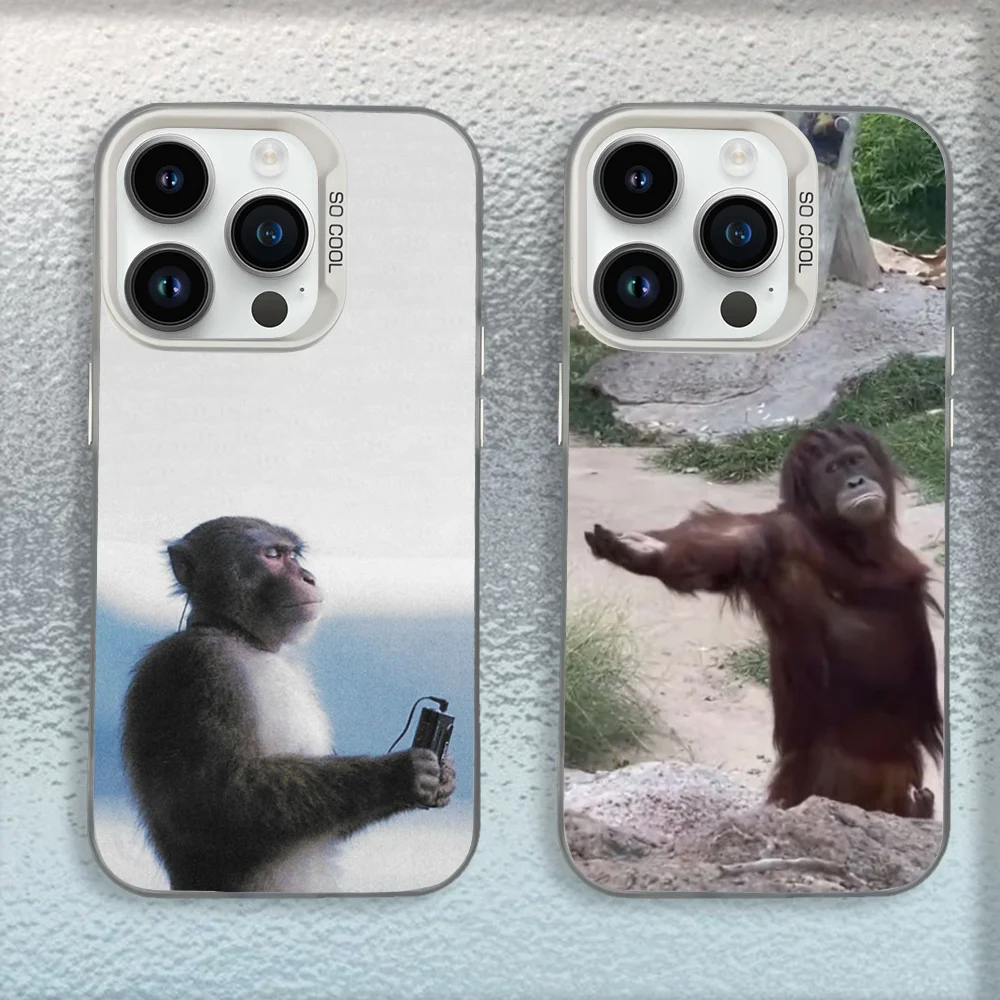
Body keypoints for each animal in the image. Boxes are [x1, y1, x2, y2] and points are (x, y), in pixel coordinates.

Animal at [121, 516, 455, 892]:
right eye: (273, 555)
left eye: (294, 555)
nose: (308, 577)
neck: (239, 636)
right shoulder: (199, 668)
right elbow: (216, 807)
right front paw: (402, 773)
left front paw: (444, 774)